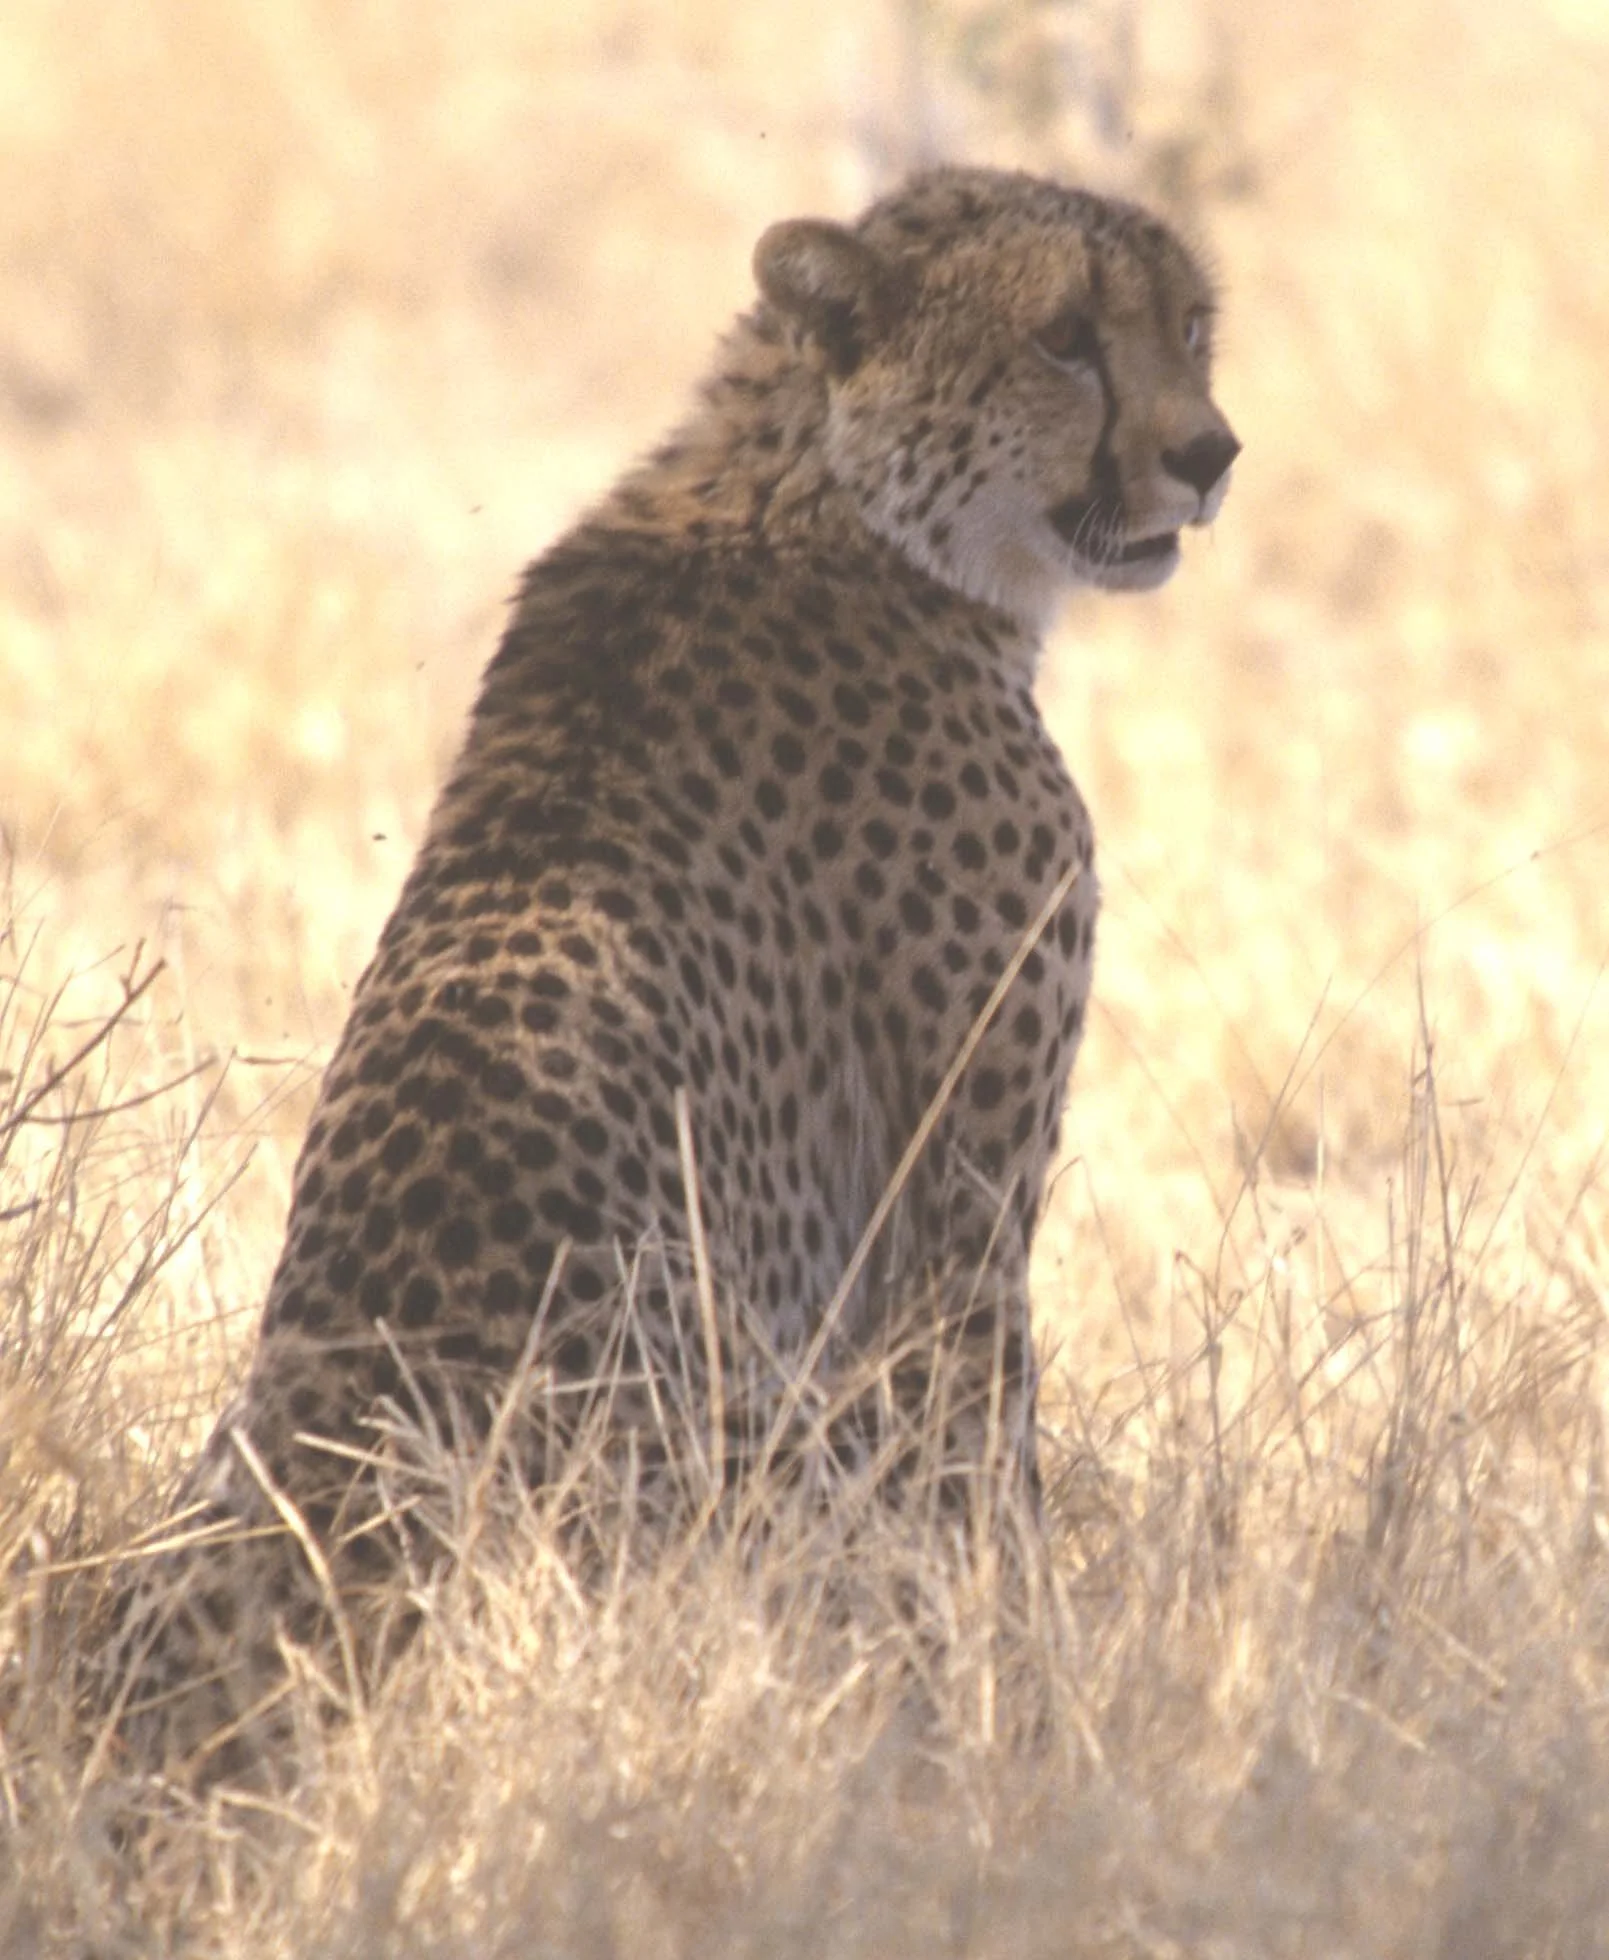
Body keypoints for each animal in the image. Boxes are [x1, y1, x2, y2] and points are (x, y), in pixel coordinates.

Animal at [101, 165, 1237, 1785]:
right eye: (1065, 338)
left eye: (1189, 324)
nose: (1208, 454)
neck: (826, 495)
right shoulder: (954, 1206)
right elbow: (984, 1465)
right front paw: (1038, 1709)